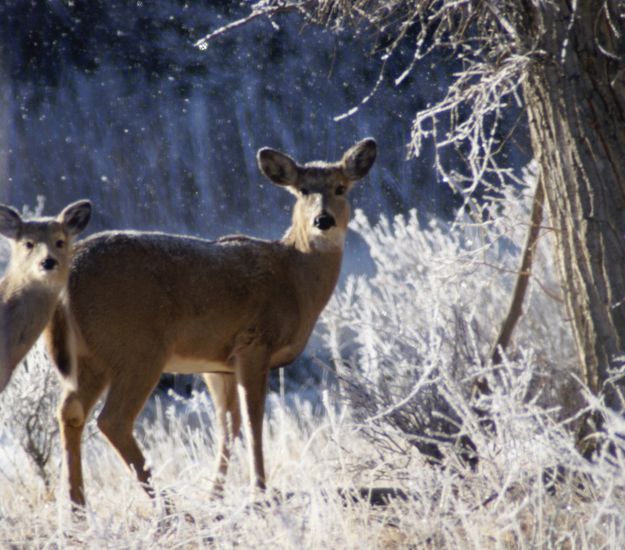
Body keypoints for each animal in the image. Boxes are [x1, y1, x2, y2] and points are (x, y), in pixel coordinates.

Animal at [45, 139, 376, 512]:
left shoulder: (216, 364)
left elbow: (228, 426)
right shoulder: (254, 342)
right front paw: (259, 490)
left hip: (91, 356)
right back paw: (167, 506)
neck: (294, 277)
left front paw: (215, 495)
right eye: (303, 189)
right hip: (137, 347)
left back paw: (78, 509)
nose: (323, 219)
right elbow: (254, 420)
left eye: (341, 187)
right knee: (112, 419)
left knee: (70, 413)